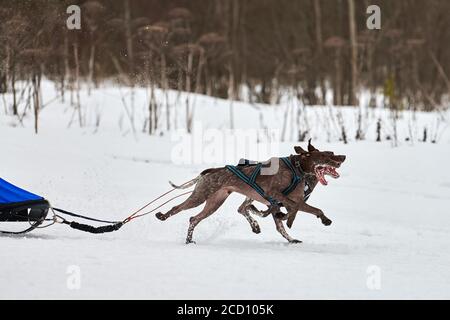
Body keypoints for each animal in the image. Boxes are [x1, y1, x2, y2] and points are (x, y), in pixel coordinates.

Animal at [156, 141, 346, 245]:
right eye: (328, 154)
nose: (344, 156)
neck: (297, 168)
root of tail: (210, 171)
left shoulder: (277, 202)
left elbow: (284, 220)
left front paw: (291, 235)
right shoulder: (277, 196)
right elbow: (298, 208)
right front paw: (321, 219)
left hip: (214, 202)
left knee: (194, 219)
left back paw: (189, 240)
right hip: (200, 197)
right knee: (177, 208)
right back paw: (163, 216)